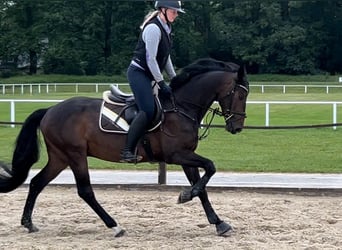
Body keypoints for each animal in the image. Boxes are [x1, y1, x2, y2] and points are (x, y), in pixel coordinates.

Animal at [0, 57, 248, 237]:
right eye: (240, 94)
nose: (237, 126)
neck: (181, 107)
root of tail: (50, 110)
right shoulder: (177, 155)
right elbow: (211, 167)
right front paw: (186, 195)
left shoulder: (187, 156)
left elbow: (202, 186)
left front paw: (218, 222)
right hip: (75, 155)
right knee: (85, 191)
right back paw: (114, 226)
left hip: (60, 158)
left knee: (36, 182)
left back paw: (28, 223)